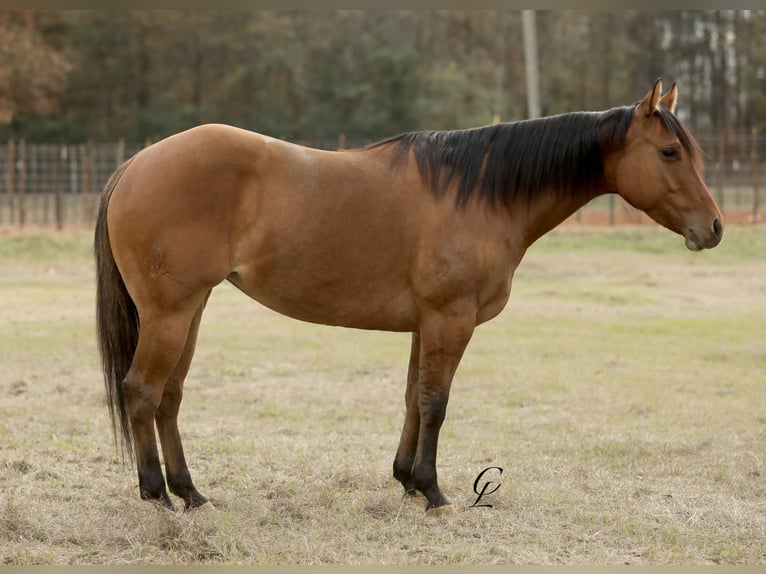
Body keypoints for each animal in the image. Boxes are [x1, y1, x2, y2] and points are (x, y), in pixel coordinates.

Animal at [94, 80, 728, 516]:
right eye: (670, 153)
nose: (716, 228)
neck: (481, 194)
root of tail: (136, 164)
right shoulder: (451, 320)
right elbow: (436, 403)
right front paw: (433, 491)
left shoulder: (426, 325)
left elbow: (410, 399)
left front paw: (404, 479)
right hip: (171, 314)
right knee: (142, 391)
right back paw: (157, 495)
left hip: (191, 311)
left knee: (170, 397)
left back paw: (191, 493)